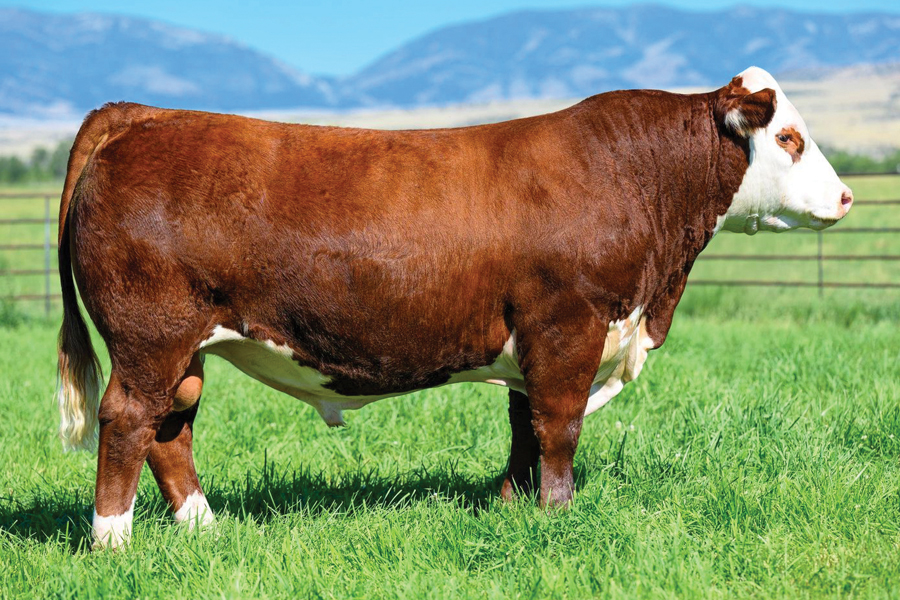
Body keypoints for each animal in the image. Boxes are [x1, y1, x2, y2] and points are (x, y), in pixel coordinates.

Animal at [56, 66, 852, 548]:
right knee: (128, 420)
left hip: (184, 346)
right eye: (788, 137)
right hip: (150, 337)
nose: (846, 197)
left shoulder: (535, 342)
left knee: (171, 428)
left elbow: (524, 428)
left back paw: (205, 531)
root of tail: (142, 115)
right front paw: (558, 515)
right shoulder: (567, 327)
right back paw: (112, 540)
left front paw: (509, 507)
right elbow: (558, 427)